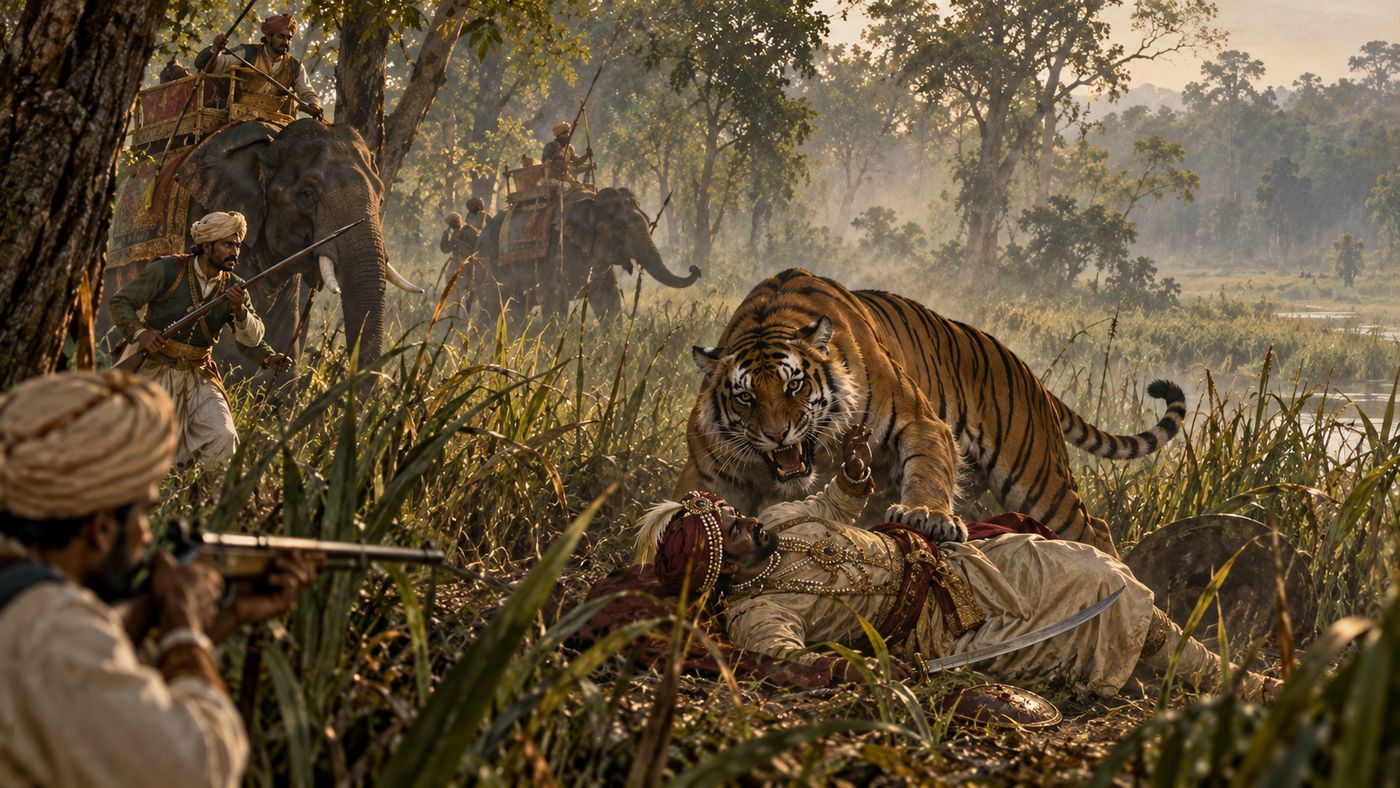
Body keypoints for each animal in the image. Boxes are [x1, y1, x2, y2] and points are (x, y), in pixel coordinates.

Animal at [473, 187, 700, 322]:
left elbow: (608, 300)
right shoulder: (555, 253)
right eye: (619, 225)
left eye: (647, 220)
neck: (589, 202)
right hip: (487, 264)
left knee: (516, 312)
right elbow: (555, 301)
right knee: (490, 308)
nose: (695, 268)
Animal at [672, 268, 1186, 557]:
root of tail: (1029, 372)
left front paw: (926, 516)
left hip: (1038, 480)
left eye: (793, 384)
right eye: (745, 398)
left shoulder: (920, 421)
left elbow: (928, 472)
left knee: (1093, 527)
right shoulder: (709, 468)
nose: (779, 434)